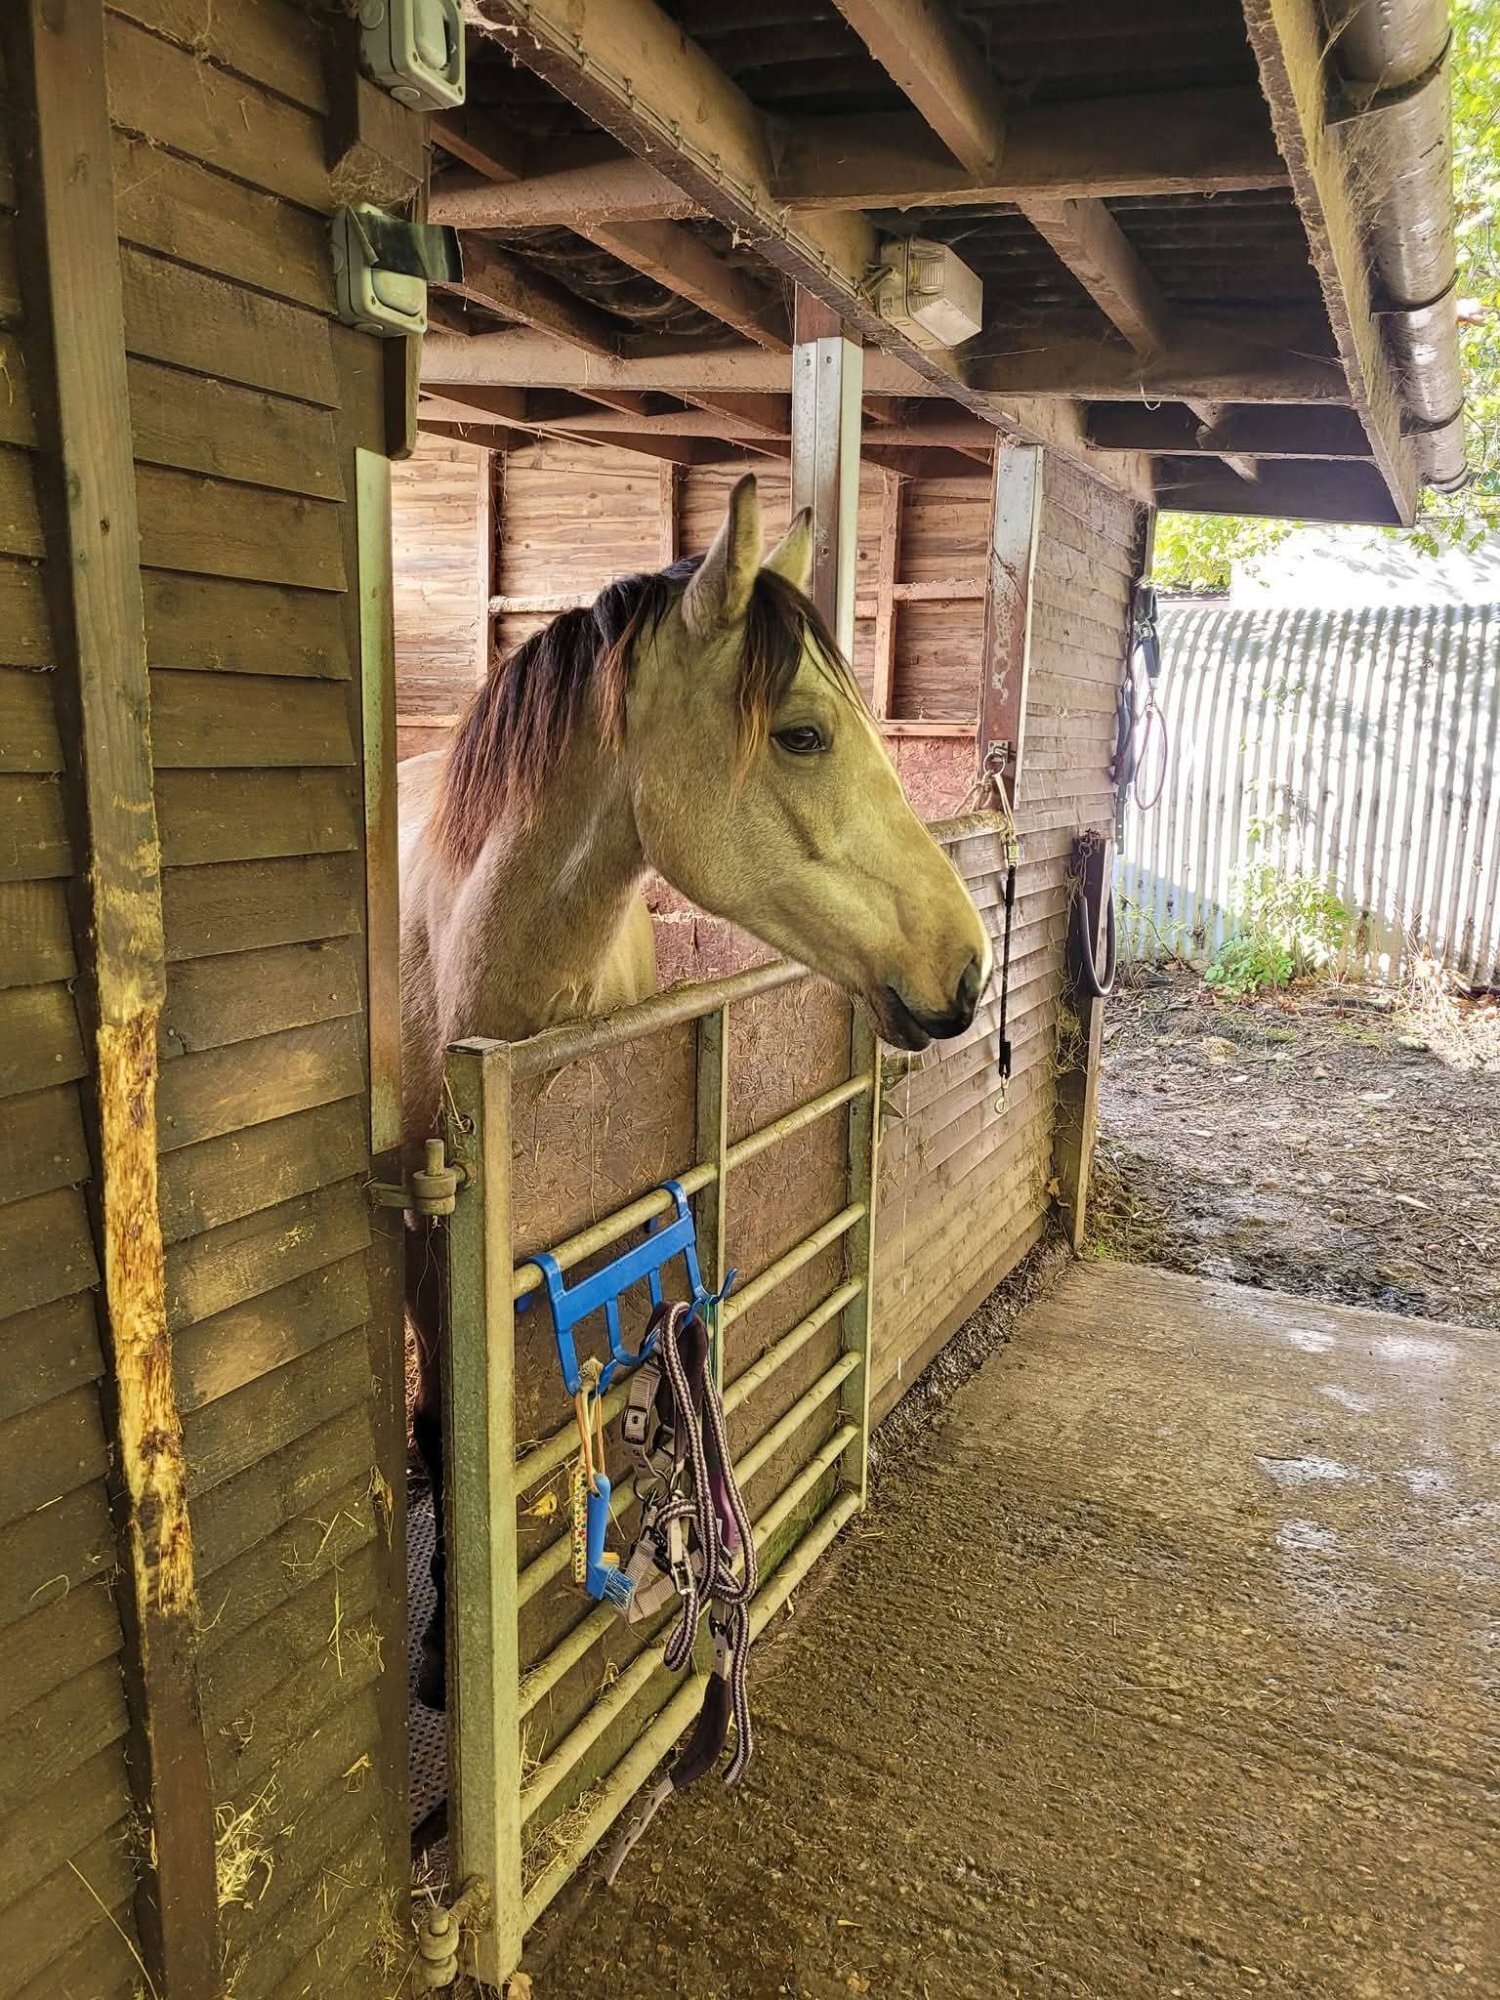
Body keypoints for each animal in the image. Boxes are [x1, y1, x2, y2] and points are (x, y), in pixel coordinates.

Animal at [400, 473, 992, 1706]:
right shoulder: (422, 1246)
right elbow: (440, 1429)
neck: (467, 962)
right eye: (804, 734)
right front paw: (439, 1654)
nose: (966, 968)